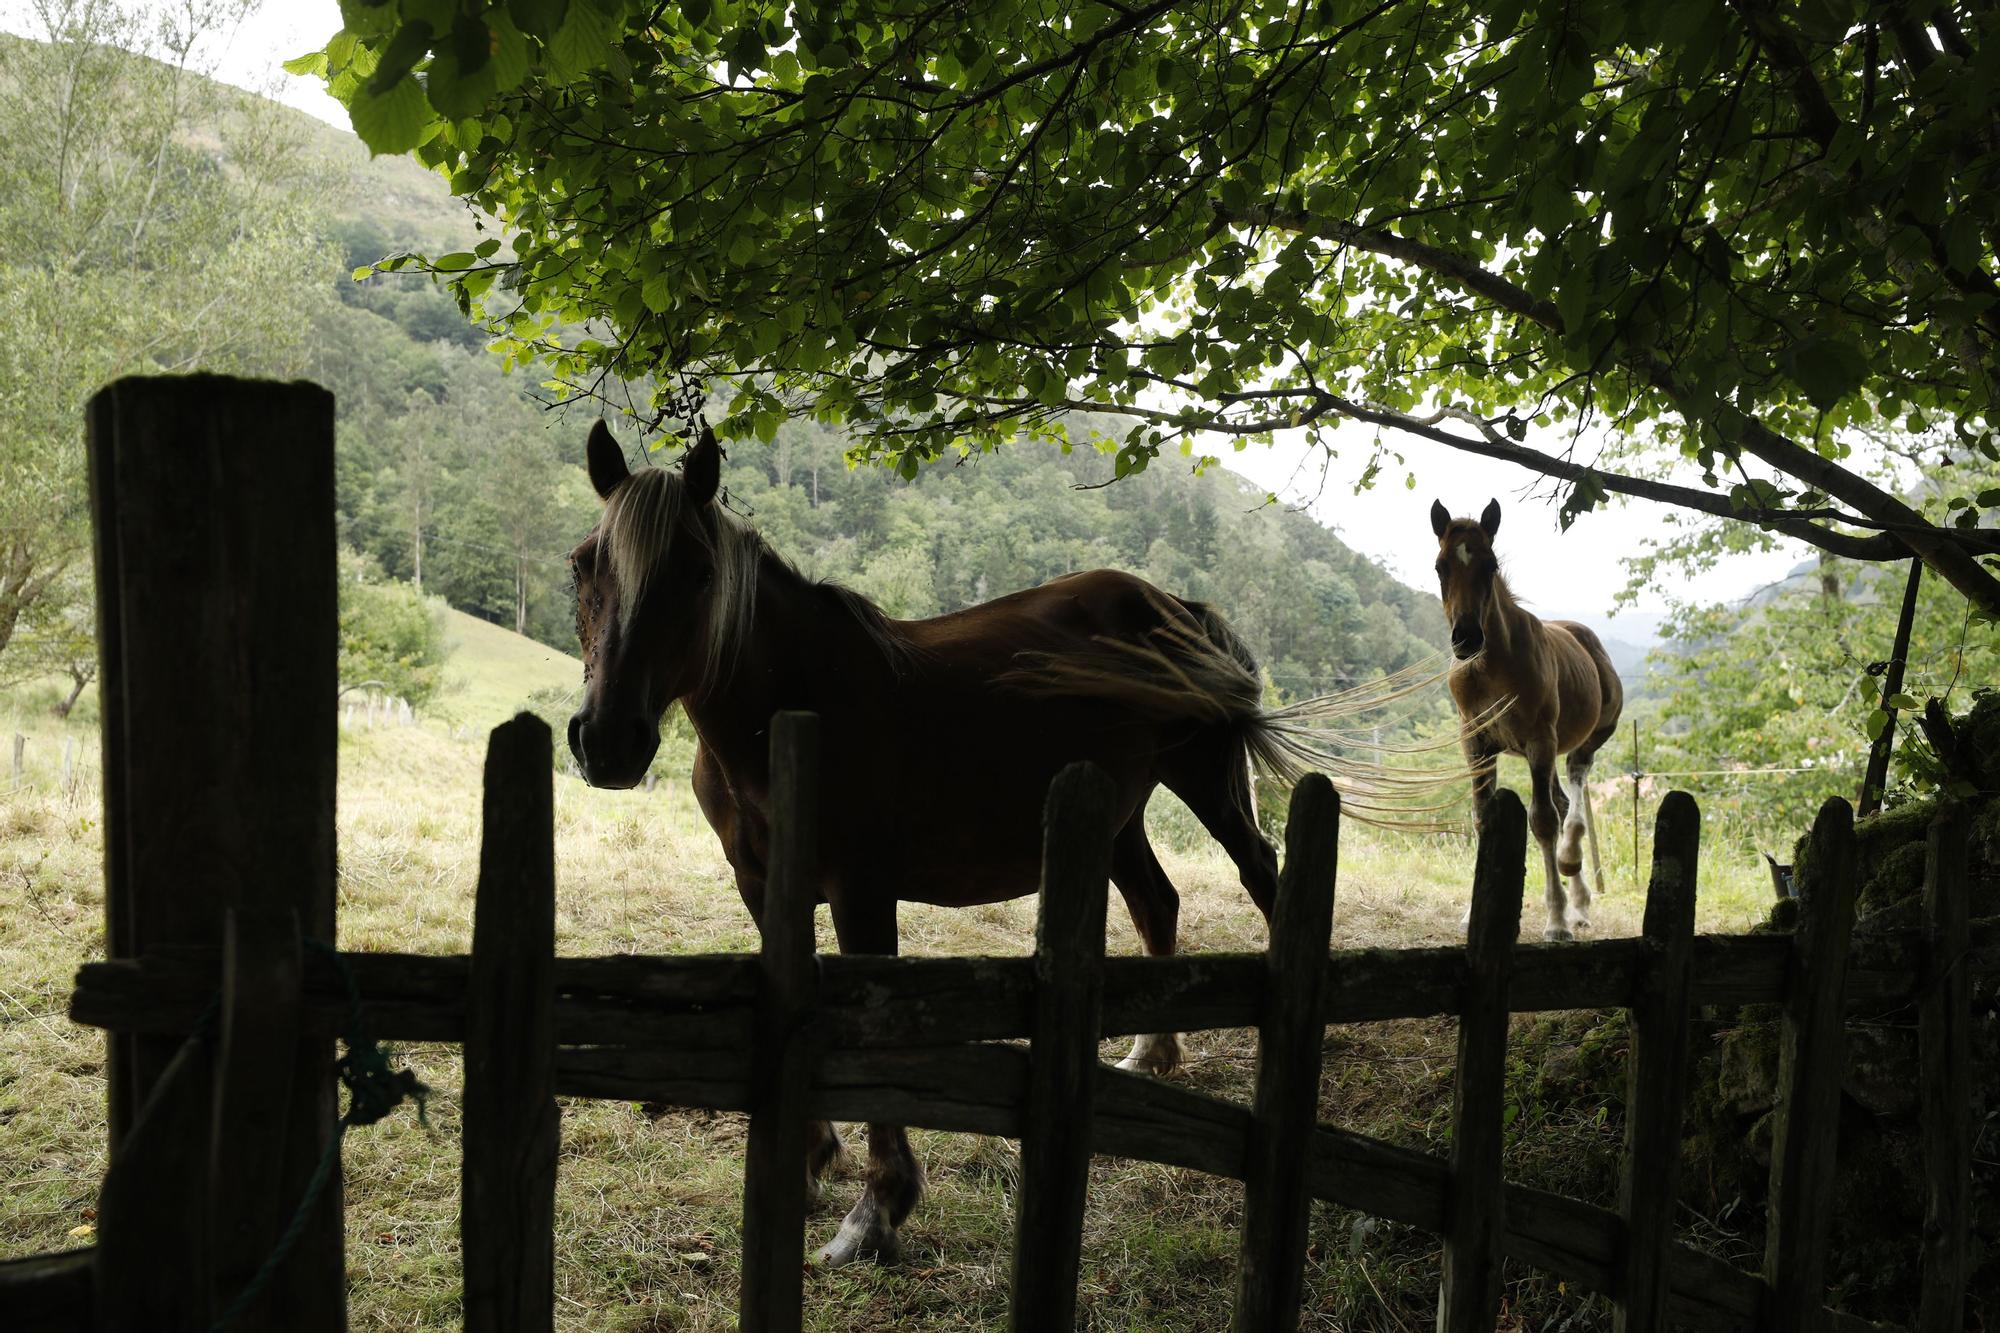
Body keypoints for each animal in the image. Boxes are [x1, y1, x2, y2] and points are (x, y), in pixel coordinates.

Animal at [564, 420, 1456, 1264]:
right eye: (582, 566)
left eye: (697, 572)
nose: (607, 741)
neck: (792, 705)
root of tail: (1179, 605)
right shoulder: (761, 886)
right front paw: (814, 1161)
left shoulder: (861, 892)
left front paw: (878, 1210)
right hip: (1116, 810)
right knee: (1157, 900)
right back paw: (1149, 1054)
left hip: (1204, 779)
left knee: (1264, 878)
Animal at [1424, 492, 1624, 940]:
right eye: (1441, 566)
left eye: (1491, 565)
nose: (1467, 638)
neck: (1492, 666)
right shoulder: (1475, 744)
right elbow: (1483, 820)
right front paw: (1472, 912)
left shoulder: (1539, 739)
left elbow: (1543, 821)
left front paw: (1556, 921)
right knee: (1564, 801)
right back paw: (1578, 901)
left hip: (1582, 739)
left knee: (1573, 795)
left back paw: (1572, 880)